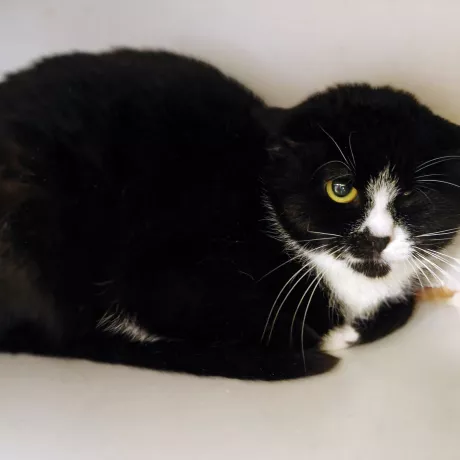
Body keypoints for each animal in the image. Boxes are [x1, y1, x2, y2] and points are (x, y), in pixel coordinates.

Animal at [0, 49, 458, 381]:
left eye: (412, 196)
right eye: (340, 189)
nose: (377, 238)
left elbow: (404, 304)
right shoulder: (166, 273)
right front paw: (332, 334)